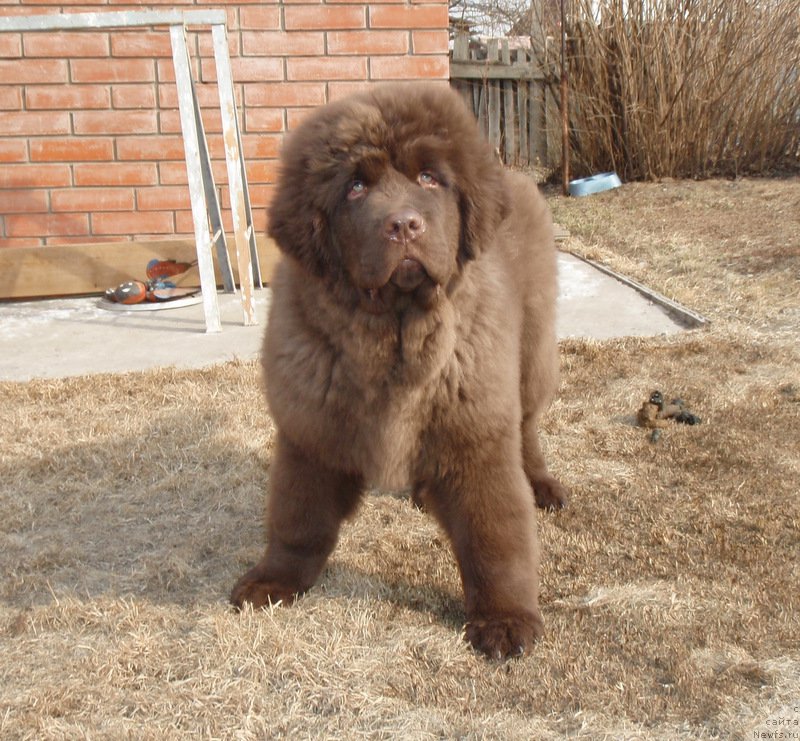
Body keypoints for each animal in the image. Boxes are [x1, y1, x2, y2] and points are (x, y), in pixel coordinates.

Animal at [231, 82, 568, 660]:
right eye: (355, 188)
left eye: (429, 177)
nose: (405, 225)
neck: (395, 335)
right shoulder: (308, 432)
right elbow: (297, 518)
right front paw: (274, 580)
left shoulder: (477, 431)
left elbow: (495, 535)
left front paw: (506, 620)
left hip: (531, 353)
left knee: (526, 428)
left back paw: (541, 484)